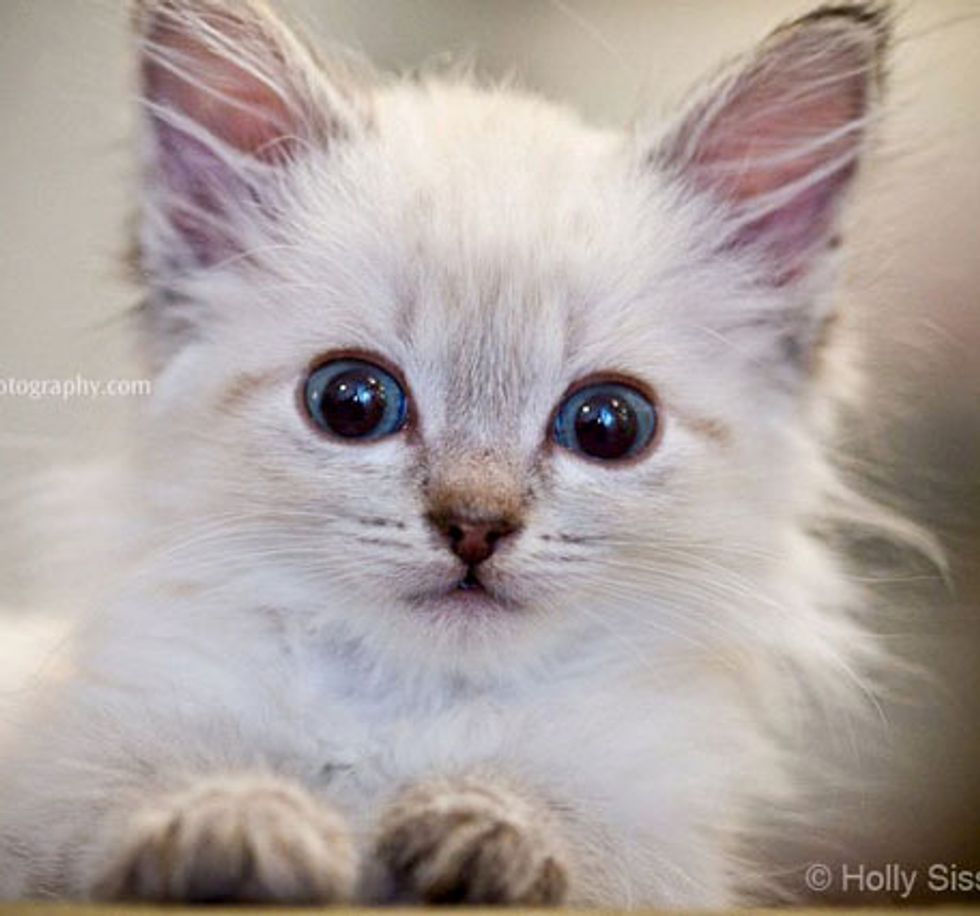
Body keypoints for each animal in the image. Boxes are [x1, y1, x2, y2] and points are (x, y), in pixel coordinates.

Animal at [0, 0, 896, 908]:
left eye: (609, 425)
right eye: (352, 403)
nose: (475, 525)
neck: (414, 711)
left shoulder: (668, 846)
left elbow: (591, 842)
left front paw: (486, 831)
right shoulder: (60, 769)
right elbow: (119, 792)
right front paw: (235, 822)